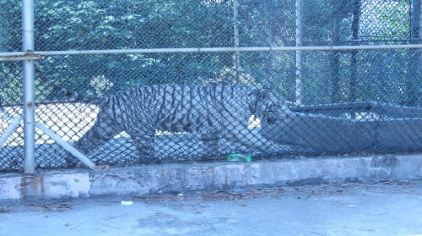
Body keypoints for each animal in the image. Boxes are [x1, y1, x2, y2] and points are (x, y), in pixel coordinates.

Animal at [67, 83, 288, 164]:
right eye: (277, 104)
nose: (285, 113)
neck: (250, 100)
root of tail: (112, 97)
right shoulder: (235, 128)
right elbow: (257, 139)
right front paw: (276, 147)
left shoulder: (210, 131)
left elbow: (211, 146)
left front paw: (210, 158)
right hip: (143, 131)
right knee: (145, 155)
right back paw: (156, 163)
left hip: (105, 128)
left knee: (83, 142)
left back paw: (71, 159)